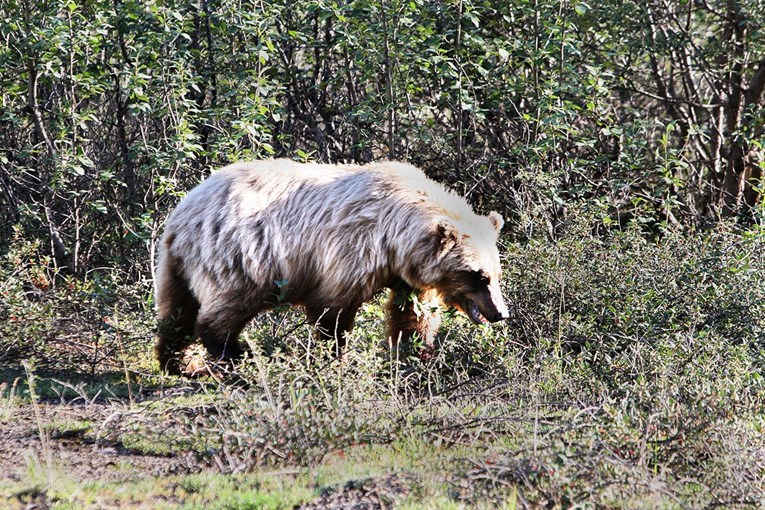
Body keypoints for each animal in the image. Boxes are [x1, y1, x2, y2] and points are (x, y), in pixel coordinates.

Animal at [153, 159, 510, 374]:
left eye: (496, 274)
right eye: (478, 276)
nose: (500, 312)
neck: (395, 238)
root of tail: (182, 213)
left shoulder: (406, 274)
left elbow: (412, 314)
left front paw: (415, 353)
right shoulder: (350, 250)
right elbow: (332, 310)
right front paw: (337, 356)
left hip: (176, 264)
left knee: (177, 311)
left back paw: (177, 361)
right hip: (242, 256)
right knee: (225, 308)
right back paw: (234, 355)